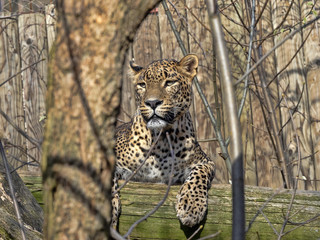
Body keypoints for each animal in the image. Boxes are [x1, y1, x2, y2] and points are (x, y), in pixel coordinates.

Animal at [112, 54, 215, 229]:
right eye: (142, 85)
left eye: (169, 82)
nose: (152, 103)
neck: (161, 141)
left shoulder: (205, 161)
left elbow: (198, 174)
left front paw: (191, 205)